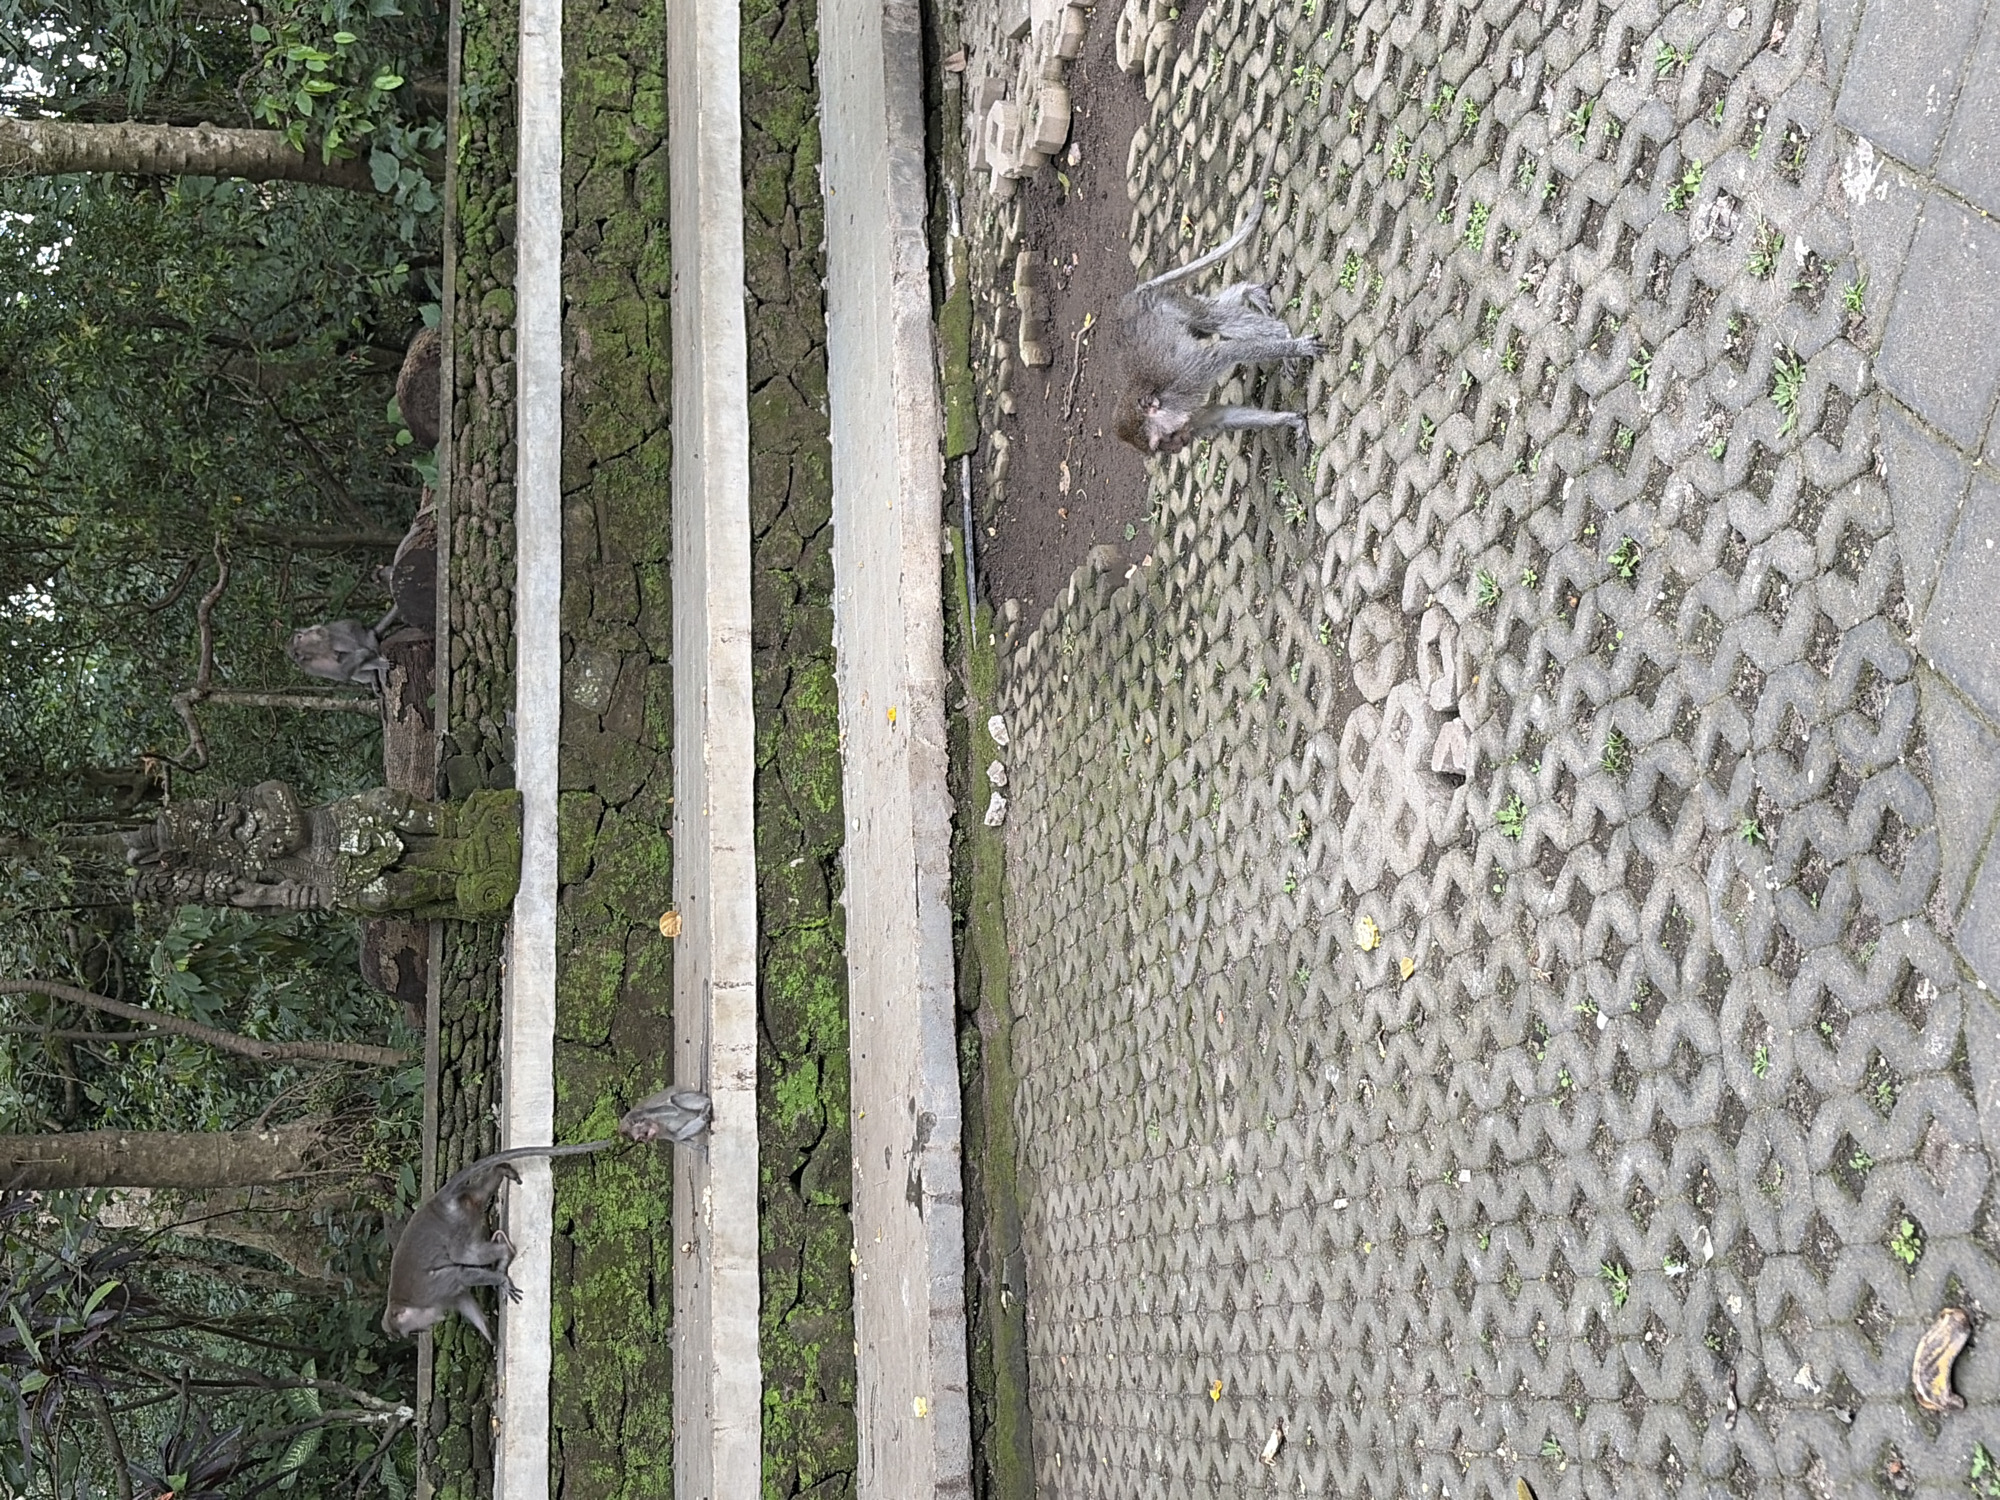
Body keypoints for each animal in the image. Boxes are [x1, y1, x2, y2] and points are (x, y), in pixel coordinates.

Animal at [380, 1139, 614, 1341]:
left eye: (412, 1330)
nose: (423, 1330)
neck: (410, 1304)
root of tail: (438, 1202)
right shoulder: (444, 1295)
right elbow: (463, 1298)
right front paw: (490, 1336)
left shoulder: (435, 1289)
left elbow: (461, 1275)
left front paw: (501, 1281)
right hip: (467, 1208)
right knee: (478, 1199)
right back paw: (501, 1171)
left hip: (456, 1225)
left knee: (464, 1254)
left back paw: (504, 1254)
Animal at [1112, 197, 1326, 454]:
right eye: (1162, 445)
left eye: (1165, 438)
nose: (1177, 447)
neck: (1166, 401)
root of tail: (1133, 296)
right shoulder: (1187, 413)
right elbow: (1219, 416)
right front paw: (1291, 420)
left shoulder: (1191, 376)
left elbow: (1229, 352)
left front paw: (1298, 348)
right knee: (1206, 324)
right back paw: (1248, 292)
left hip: (1165, 303)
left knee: (1211, 319)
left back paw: (1281, 333)